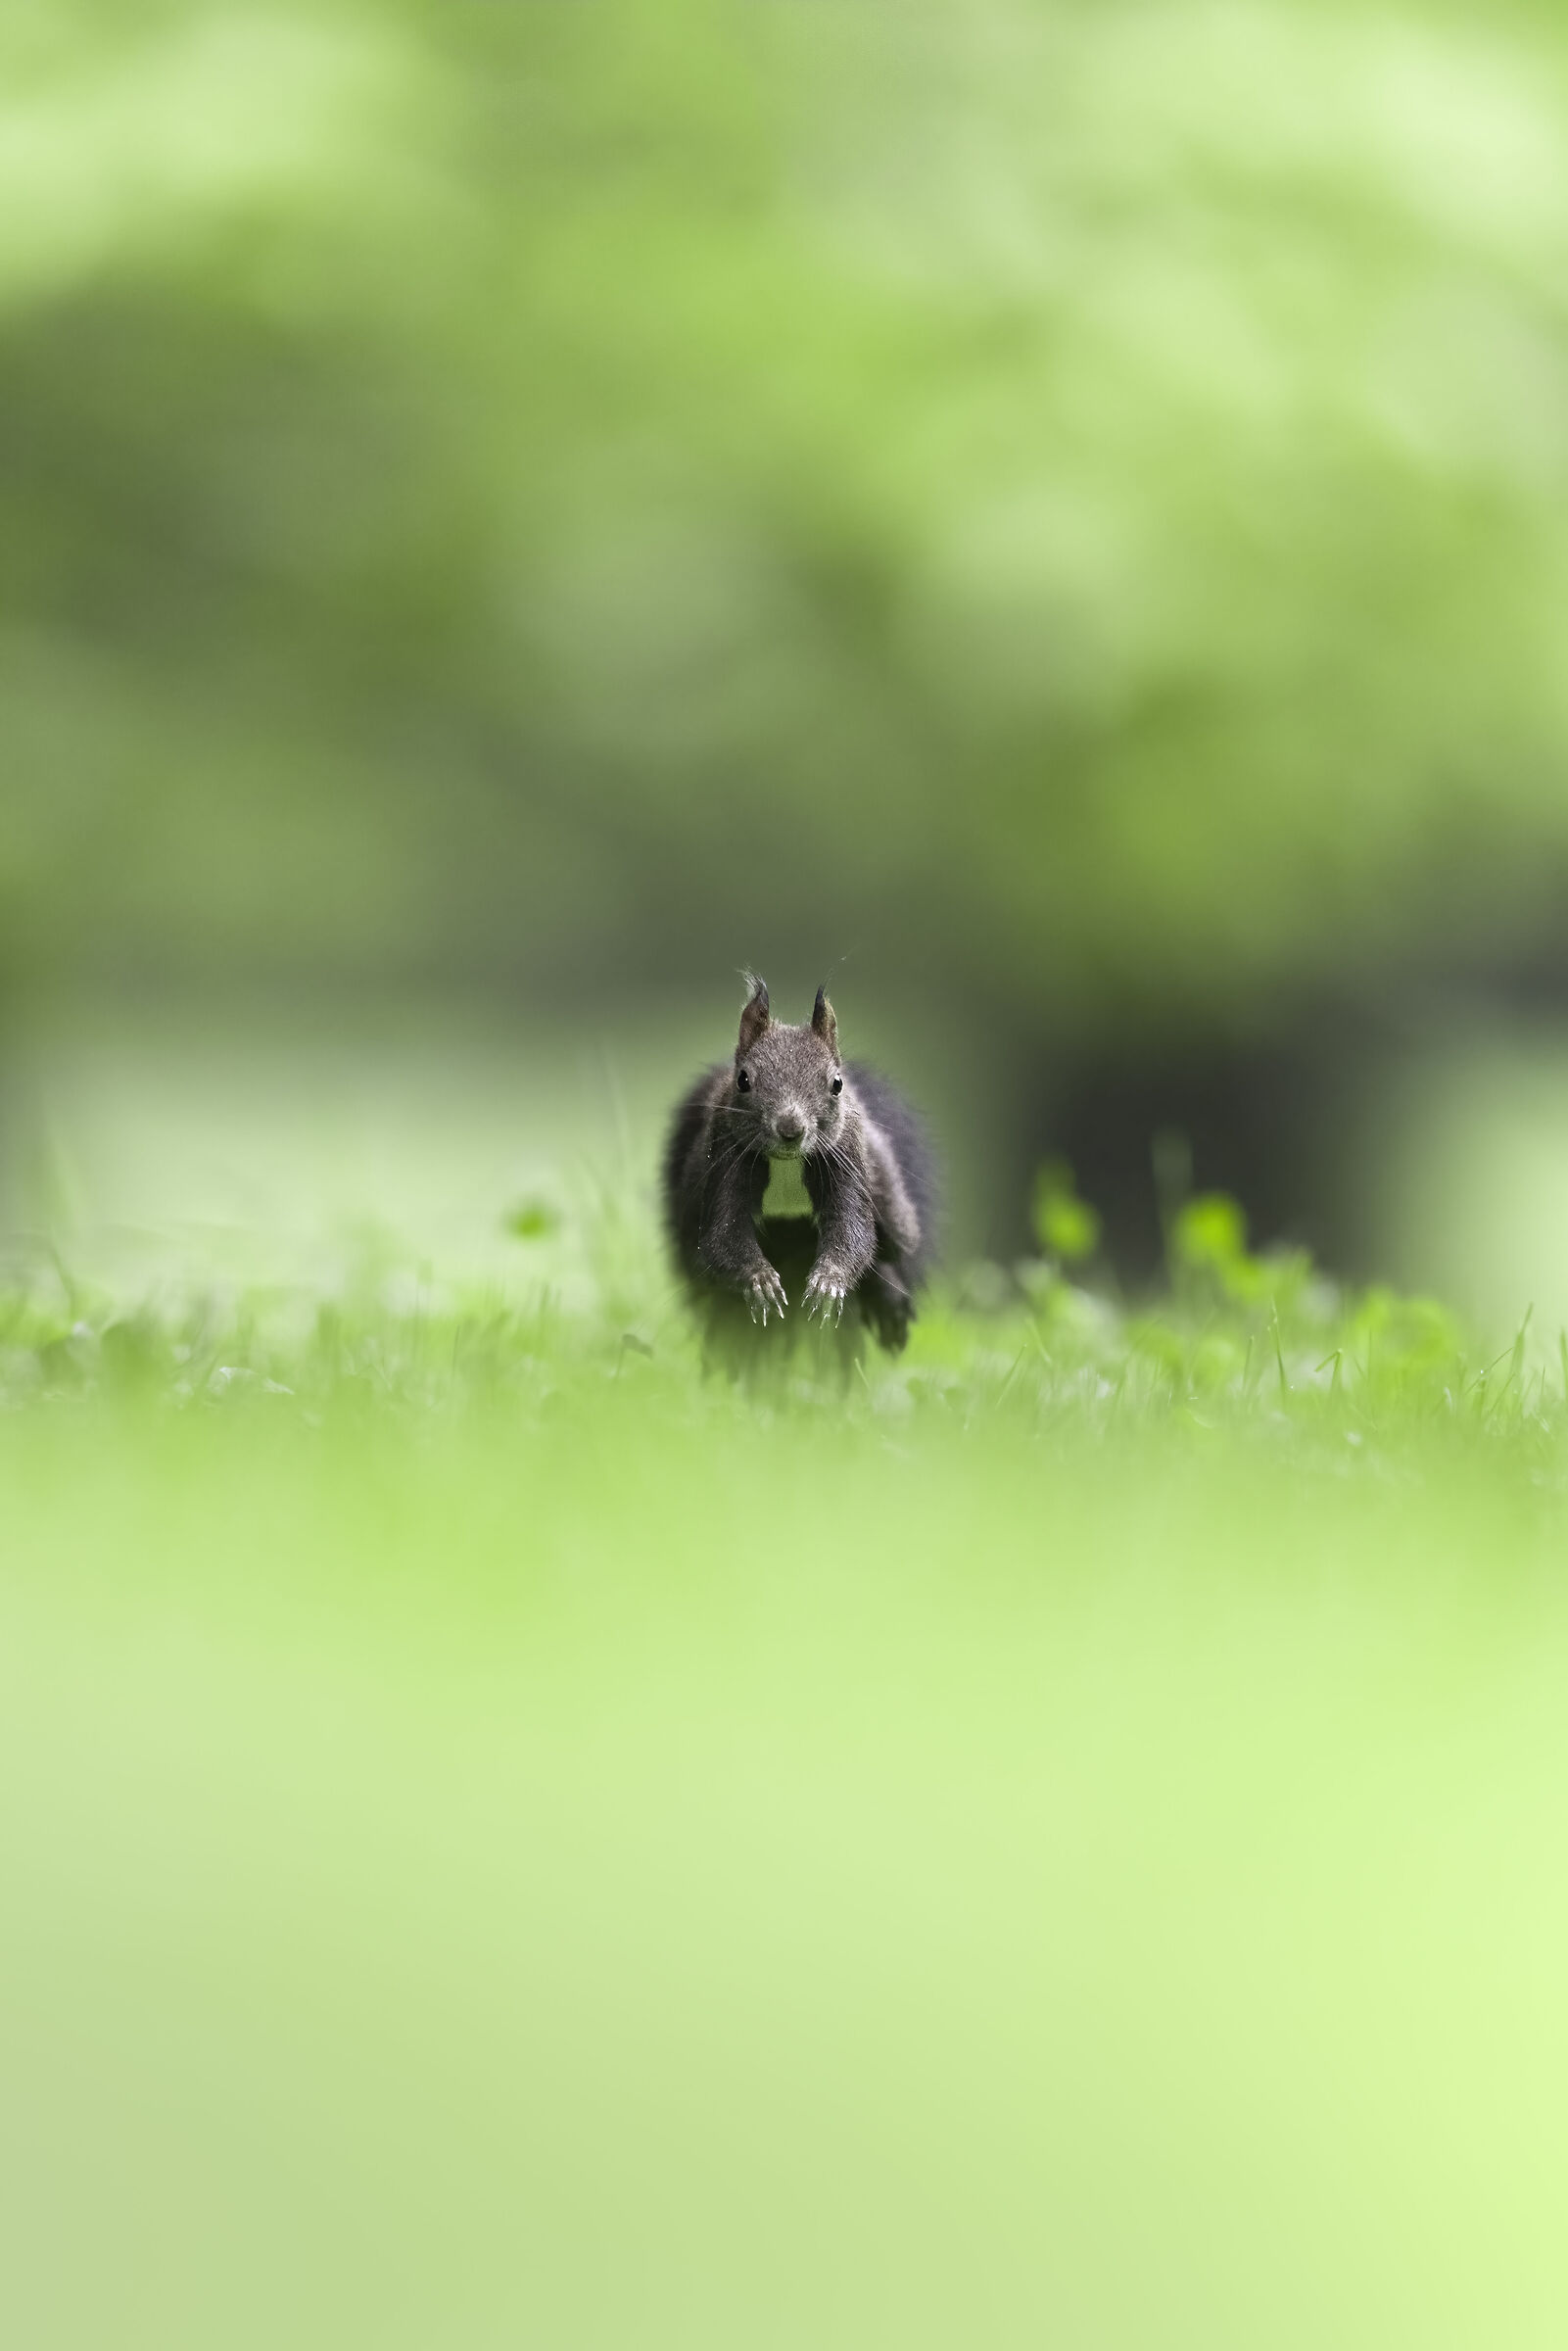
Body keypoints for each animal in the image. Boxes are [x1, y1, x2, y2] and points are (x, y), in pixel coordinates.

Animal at [663, 976, 937, 1355]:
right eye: (743, 1080)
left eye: (837, 1083)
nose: (790, 1129)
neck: (786, 1166)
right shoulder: (725, 1154)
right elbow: (723, 1236)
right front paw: (760, 1280)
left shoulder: (847, 1157)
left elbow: (854, 1232)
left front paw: (828, 1282)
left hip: (889, 1197)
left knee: (891, 1247)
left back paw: (890, 1303)